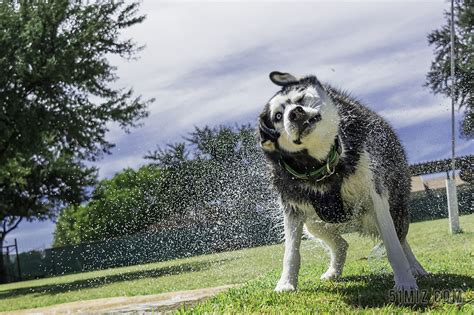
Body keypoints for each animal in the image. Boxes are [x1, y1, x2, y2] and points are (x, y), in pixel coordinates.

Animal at [260, 72, 430, 294]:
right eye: (278, 116)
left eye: (301, 99)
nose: (295, 113)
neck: (322, 167)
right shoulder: (292, 207)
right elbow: (291, 252)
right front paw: (286, 284)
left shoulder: (375, 195)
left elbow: (393, 245)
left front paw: (405, 283)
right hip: (314, 223)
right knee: (341, 244)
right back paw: (334, 271)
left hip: (396, 205)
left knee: (401, 239)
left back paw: (416, 268)